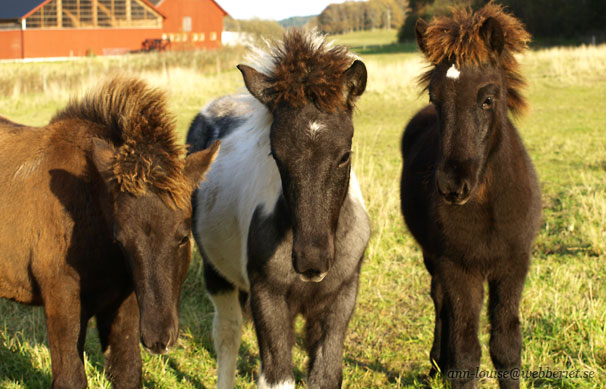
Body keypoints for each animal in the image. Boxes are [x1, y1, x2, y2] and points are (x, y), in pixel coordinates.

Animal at [188, 28, 372, 386]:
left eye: (344, 155)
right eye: (276, 155)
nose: (311, 261)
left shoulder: (340, 300)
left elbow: (325, 375)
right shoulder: (268, 300)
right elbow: (276, 377)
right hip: (216, 274)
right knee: (227, 334)